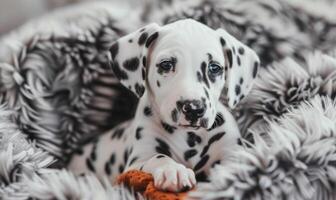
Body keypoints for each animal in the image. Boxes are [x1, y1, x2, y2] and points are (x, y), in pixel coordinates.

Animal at [67, 18, 258, 192]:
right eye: (166, 64)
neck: (190, 138)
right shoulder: (136, 162)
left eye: (214, 68)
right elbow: (157, 157)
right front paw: (172, 170)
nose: (193, 109)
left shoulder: (230, 150)